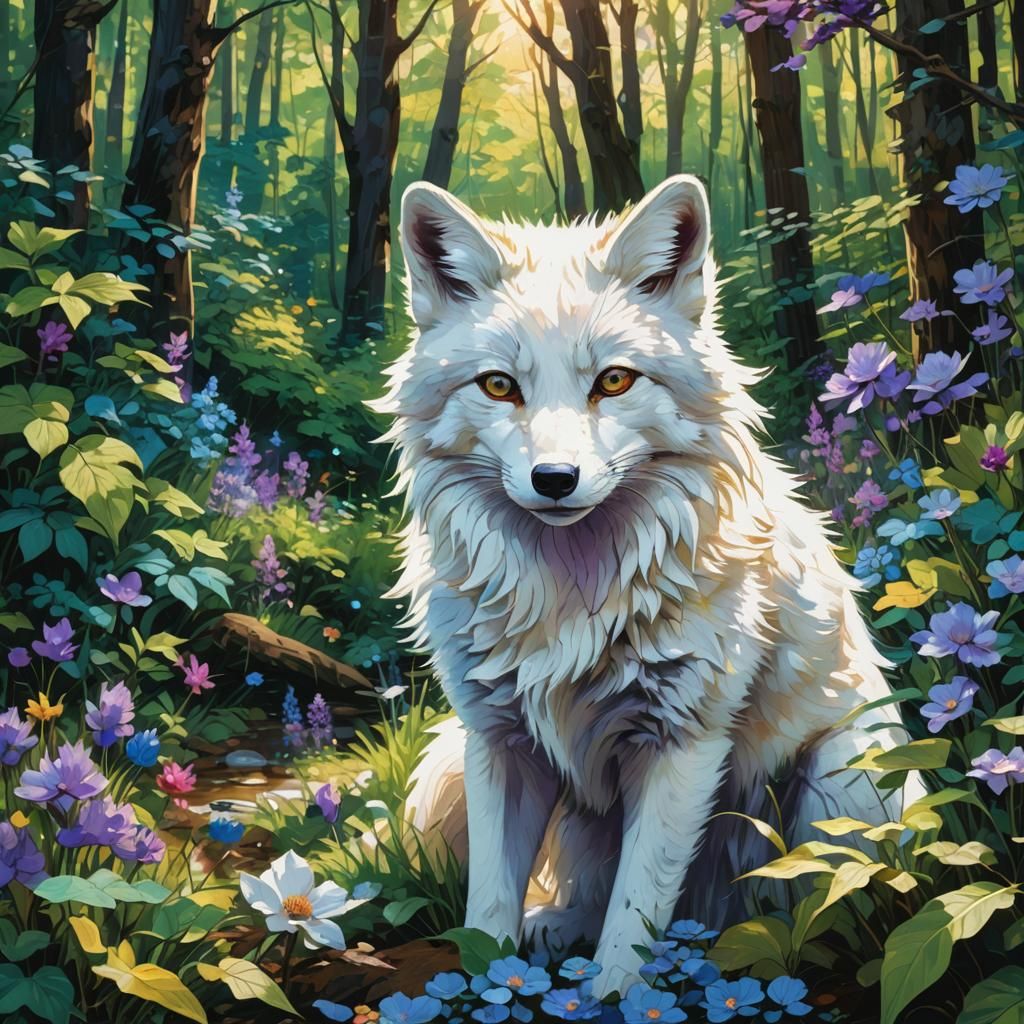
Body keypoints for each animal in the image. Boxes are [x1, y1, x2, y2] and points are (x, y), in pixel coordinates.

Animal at [370, 175, 920, 997]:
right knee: (585, 892)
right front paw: (480, 990)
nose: (555, 480)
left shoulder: (682, 744)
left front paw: (616, 998)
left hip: (841, 778)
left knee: (820, 909)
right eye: (499, 386)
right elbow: (491, 906)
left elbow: (635, 914)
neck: (569, 594)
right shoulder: (497, 743)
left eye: (614, 381)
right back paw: (560, 926)